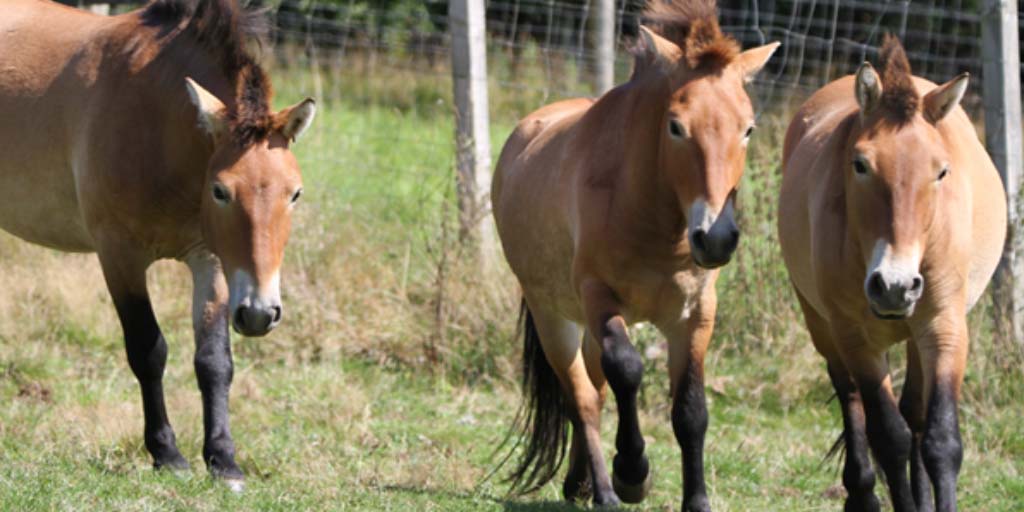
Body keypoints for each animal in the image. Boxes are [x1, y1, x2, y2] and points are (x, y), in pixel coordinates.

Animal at [0, 0, 315, 487]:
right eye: (220, 191)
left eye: (295, 193)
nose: (260, 314)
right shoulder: (120, 256)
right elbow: (148, 350)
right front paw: (167, 453)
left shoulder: (213, 262)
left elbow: (214, 361)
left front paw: (223, 459)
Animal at [491, 0, 778, 507]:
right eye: (676, 127)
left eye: (748, 128)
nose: (716, 238)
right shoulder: (599, 297)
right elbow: (626, 370)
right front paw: (632, 472)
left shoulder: (696, 314)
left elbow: (691, 410)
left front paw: (697, 501)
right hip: (553, 317)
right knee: (583, 399)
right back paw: (604, 491)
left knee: (596, 391)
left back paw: (580, 483)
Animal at [778, 36, 1003, 512]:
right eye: (861, 164)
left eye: (941, 170)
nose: (895, 287)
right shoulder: (855, 337)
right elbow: (888, 436)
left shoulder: (945, 327)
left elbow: (940, 438)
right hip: (823, 326)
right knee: (851, 397)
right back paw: (862, 492)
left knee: (914, 411)